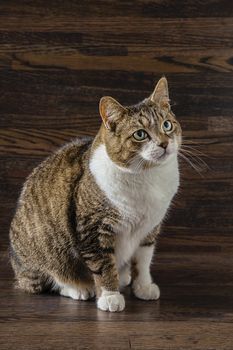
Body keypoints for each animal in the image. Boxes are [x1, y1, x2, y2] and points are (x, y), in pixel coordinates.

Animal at [9, 76, 181, 312]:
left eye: (167, 125)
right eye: (140, 134)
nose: (164, 143)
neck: (148, 176)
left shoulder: (150, 228)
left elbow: (143, 260)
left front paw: (143, 287)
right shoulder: (93, 229)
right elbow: (103, 264)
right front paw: (110, 296)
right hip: (42, 249)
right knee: (48, 279)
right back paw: (79, 288)